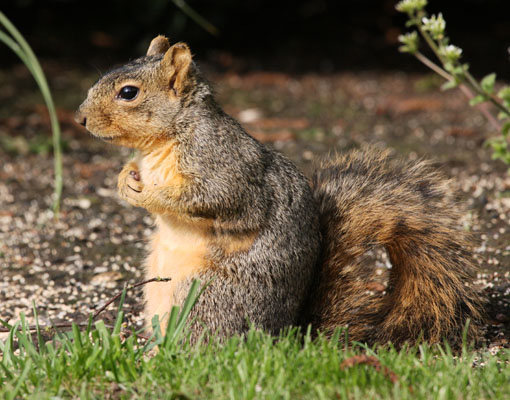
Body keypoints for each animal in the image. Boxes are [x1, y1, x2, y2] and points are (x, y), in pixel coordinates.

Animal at [74, 36, 482, 346]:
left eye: (129, 93)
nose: (79, 118)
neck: (164, 140)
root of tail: (283, 336)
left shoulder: (224, 168)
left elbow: (212, 199)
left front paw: (147, 194)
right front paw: (123, 179)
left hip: (202, 295)